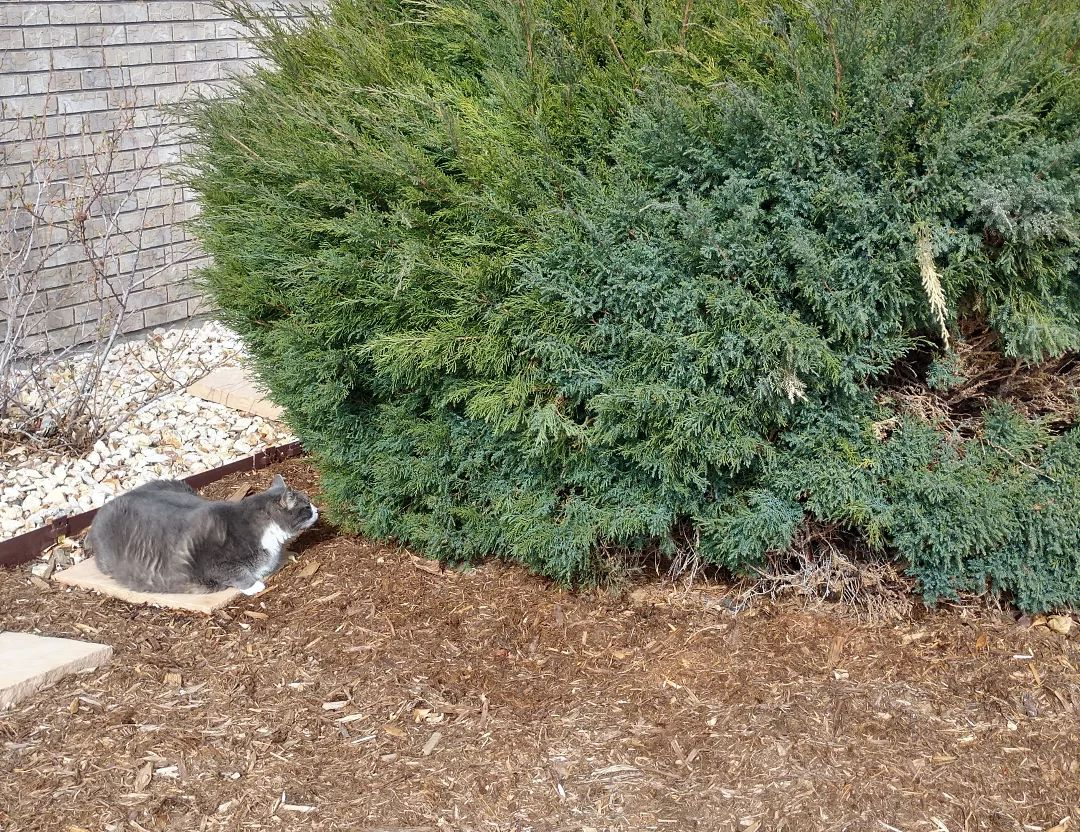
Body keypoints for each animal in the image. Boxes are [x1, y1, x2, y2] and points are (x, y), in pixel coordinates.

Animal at [85, 474, 318, 595]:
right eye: (306, 506)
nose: (317, 509)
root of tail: (104, 507)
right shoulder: (212, 563)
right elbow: (235, 572)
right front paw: (254, 585)